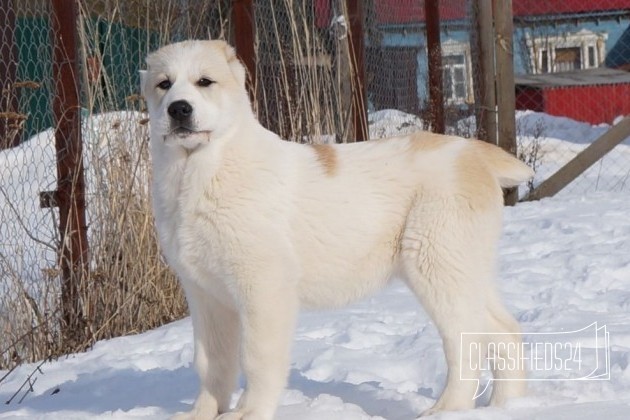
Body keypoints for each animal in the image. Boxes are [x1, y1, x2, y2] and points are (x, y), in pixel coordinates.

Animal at [142, 40, 532, 420]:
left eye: (204, 82)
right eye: (164, 84)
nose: (179, 109)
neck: (201, 169)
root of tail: (473, 153)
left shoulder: (264, 288)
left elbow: (257, 358)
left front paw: (249, 412)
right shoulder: (205, 293)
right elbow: (212, 362)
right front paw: (202, 413)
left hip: (436, 265)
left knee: (466, 341)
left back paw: (447, 409)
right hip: (464, 267)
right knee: (503, 330)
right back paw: (505, 405)